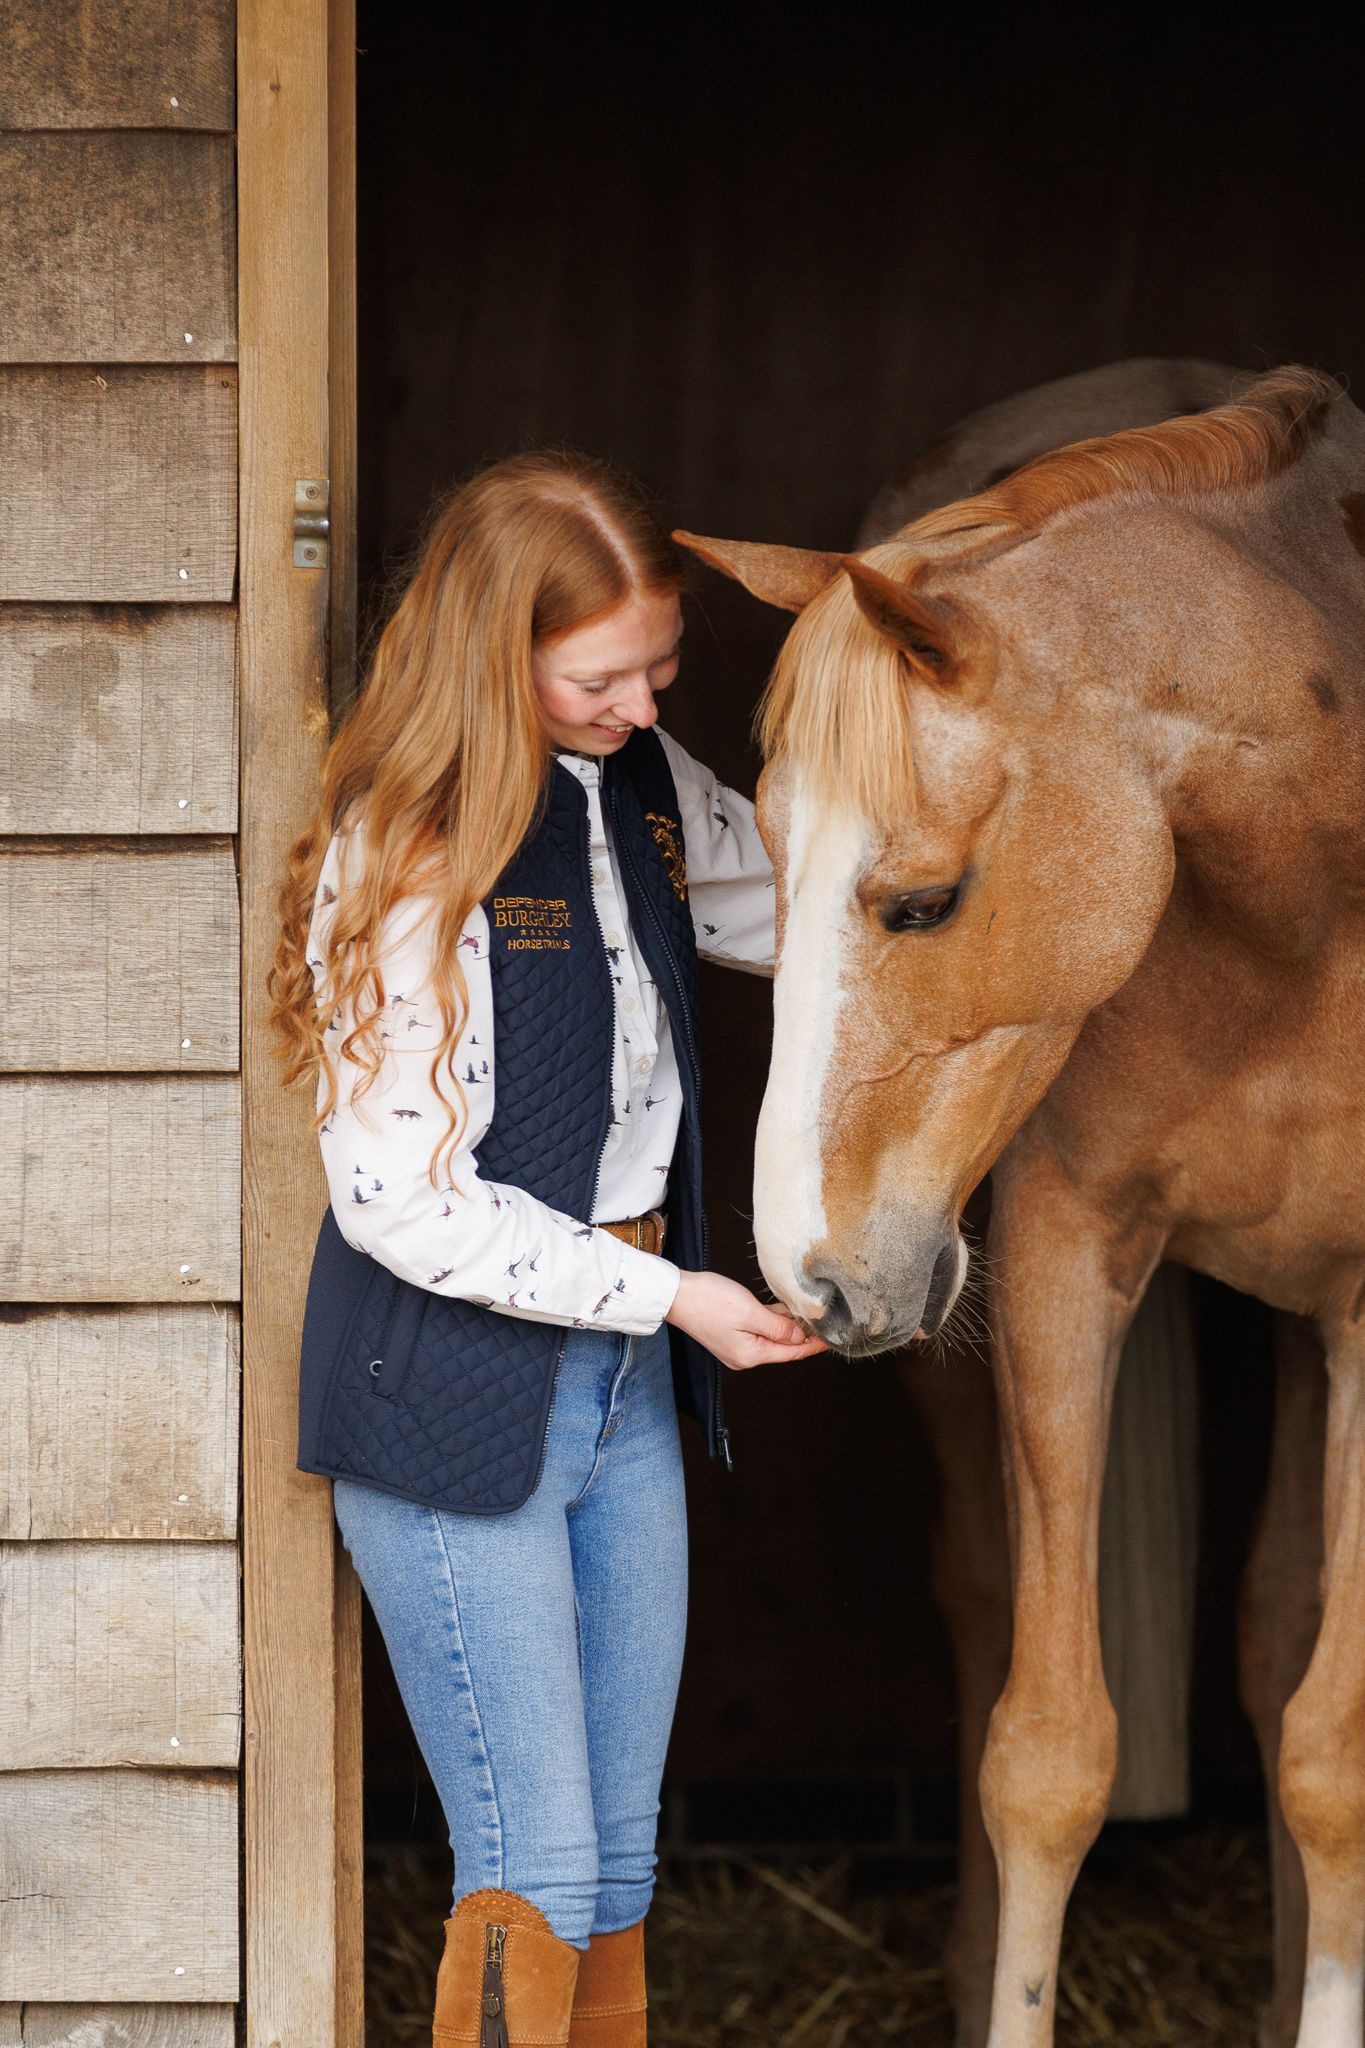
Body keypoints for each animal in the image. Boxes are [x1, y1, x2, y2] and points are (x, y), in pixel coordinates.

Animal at [676, 363, 1365, 2048]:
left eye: (923, 902)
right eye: (756, 867)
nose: (808, 1275)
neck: (1305, 917)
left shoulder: (1364, 1311)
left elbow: (1329, 1756)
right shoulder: (1063, 1257)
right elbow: (1045, 1756)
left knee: (1272, 1628)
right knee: (998, 1596)